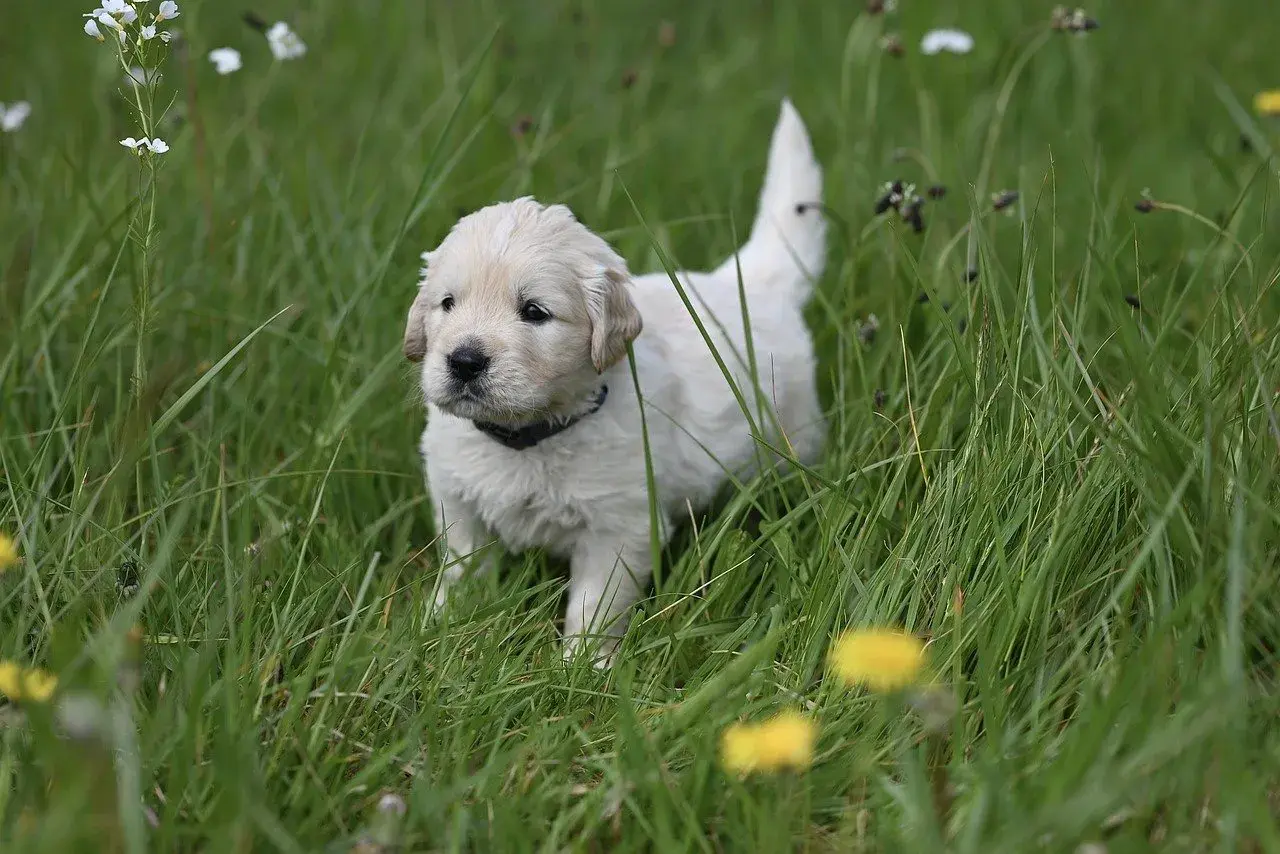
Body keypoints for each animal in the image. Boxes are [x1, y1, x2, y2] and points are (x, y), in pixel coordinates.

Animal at [409, 101, 829, 665]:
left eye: (534, 312)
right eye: (447, 304)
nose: (464, 361)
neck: (529, 436)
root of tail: (755, 282)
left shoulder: (618, 525)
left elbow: (594, 607)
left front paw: (580, 669)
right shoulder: (457, 500)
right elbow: (463, 573)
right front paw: (442, 633)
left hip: (795, 440)